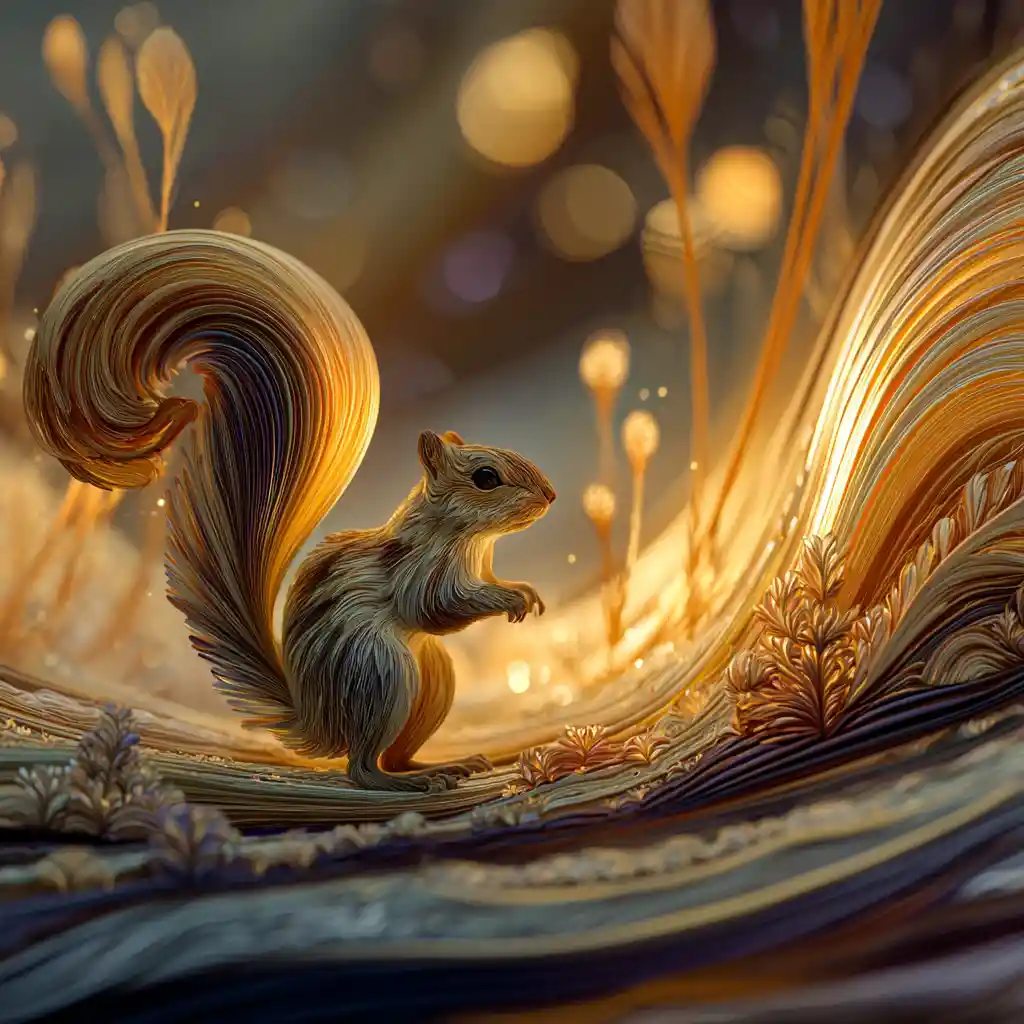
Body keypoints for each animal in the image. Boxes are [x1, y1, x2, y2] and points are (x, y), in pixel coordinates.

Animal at [23, 230, 555, 792]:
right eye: (485, 478)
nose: (549, 496)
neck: (471, 539)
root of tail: (319, 719)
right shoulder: (419, 571)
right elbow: (434, 606)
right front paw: (510, 598)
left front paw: (524, 590)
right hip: (384, 672)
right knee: (363, 767)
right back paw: (406, 782)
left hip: (431, 679)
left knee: (392, 753)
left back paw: (443, 765)